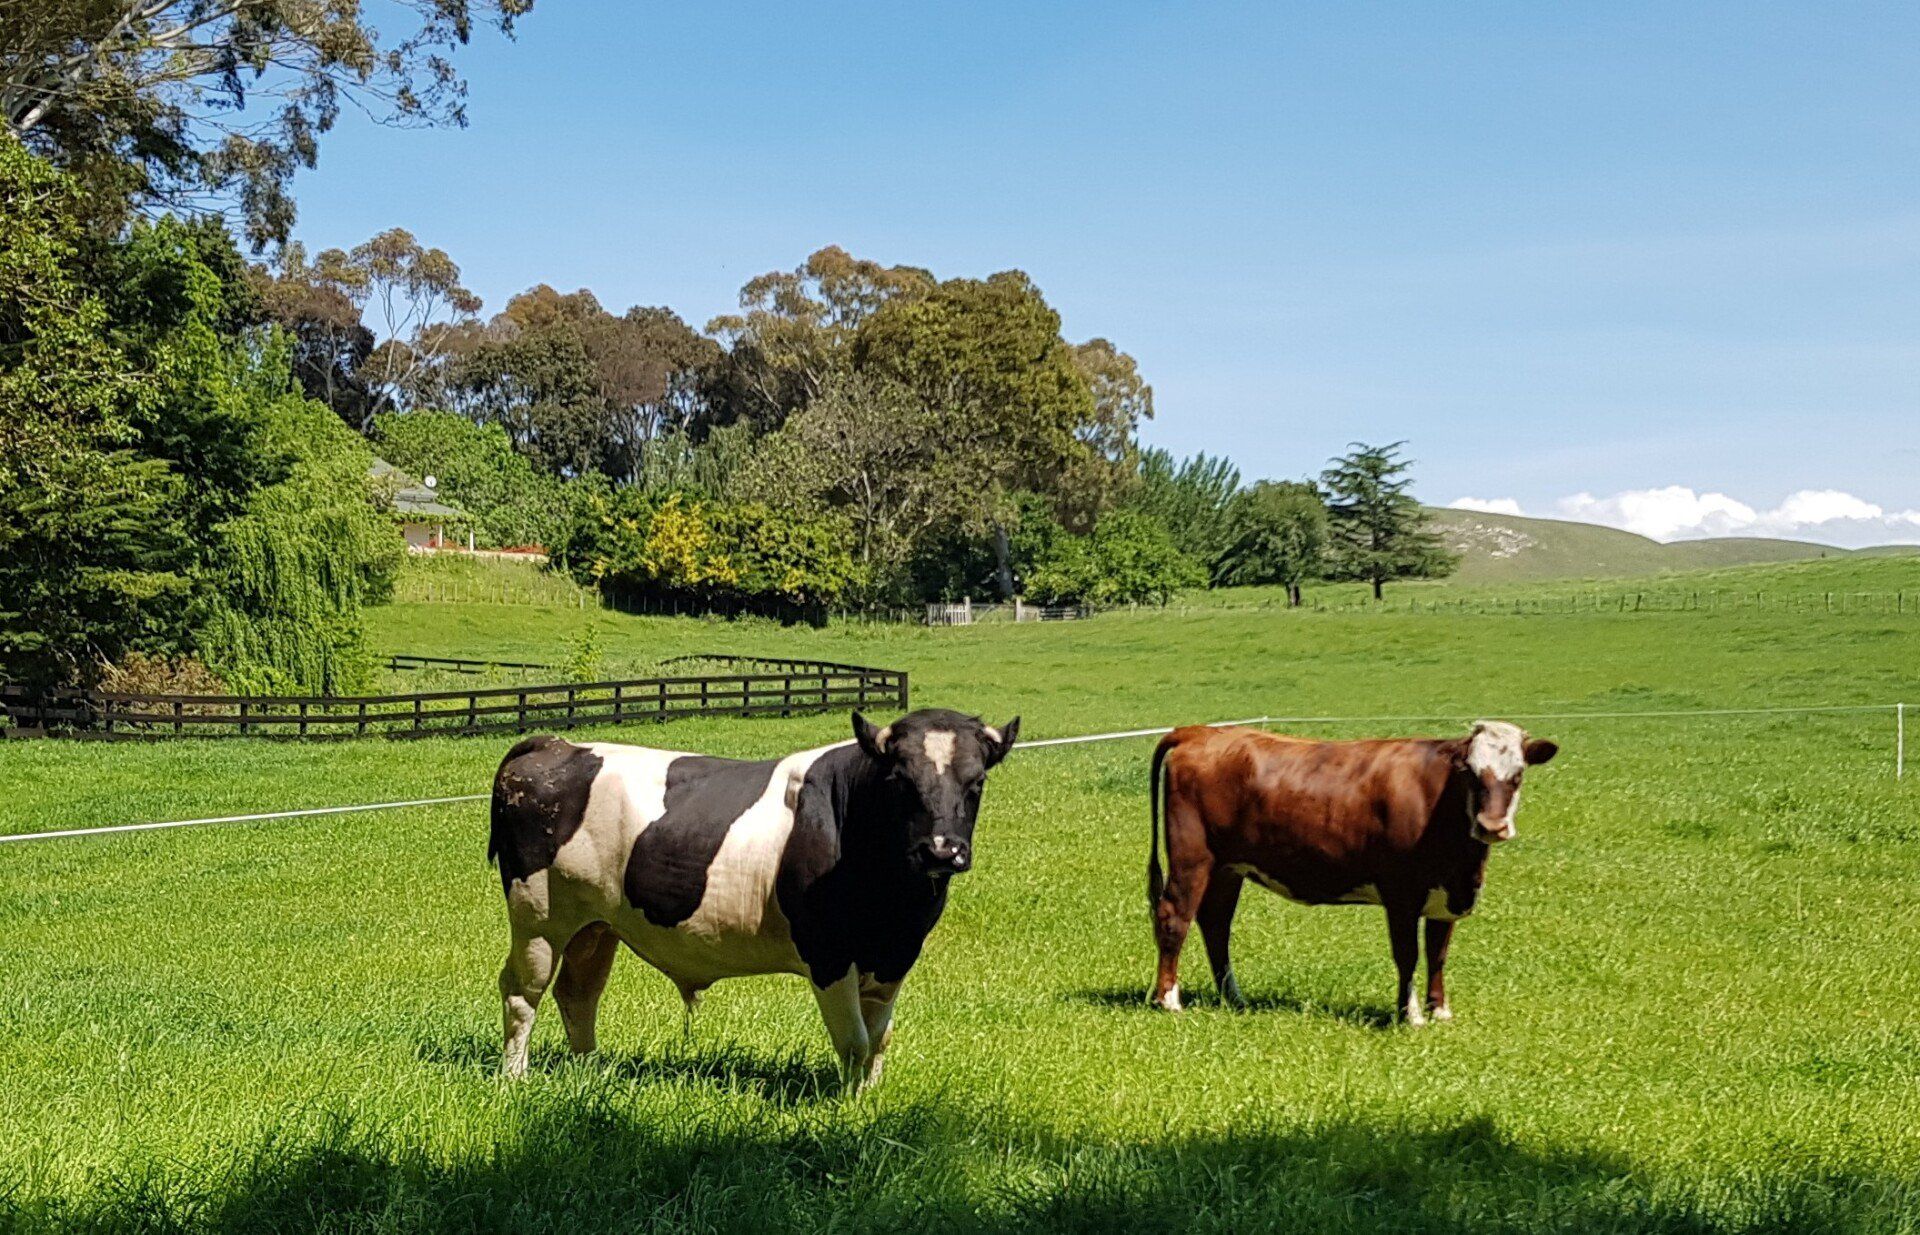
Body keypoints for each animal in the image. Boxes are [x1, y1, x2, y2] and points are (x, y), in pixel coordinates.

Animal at [488, 708, 1019, 1088]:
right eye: (900, 780)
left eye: (977, 782)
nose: (942, 849)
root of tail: (555, 744)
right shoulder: (828, 955)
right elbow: (854, 1041)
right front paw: (848, 1110)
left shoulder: (896, 955)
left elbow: (879, 1039)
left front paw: (869, 1099)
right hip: (539, 918)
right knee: (522, 990)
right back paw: (515, 1078)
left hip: (596, 925)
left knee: (578, 993)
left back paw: (590, 1072)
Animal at [1147, 720, 1558, 1024]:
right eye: (1471, 774)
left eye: (1517, 775)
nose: (1492, 826)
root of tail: (1201, 732)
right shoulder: (1401, 894)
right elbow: (1408, 954)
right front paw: (1410, 1016)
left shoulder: (1445, 897)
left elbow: (1438, 953)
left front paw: (1440, 1010)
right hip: (1193, 857)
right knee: (1175, 916)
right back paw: (1168, 1000)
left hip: (1228, 867)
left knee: (1215, 924)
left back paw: (1234, 997)